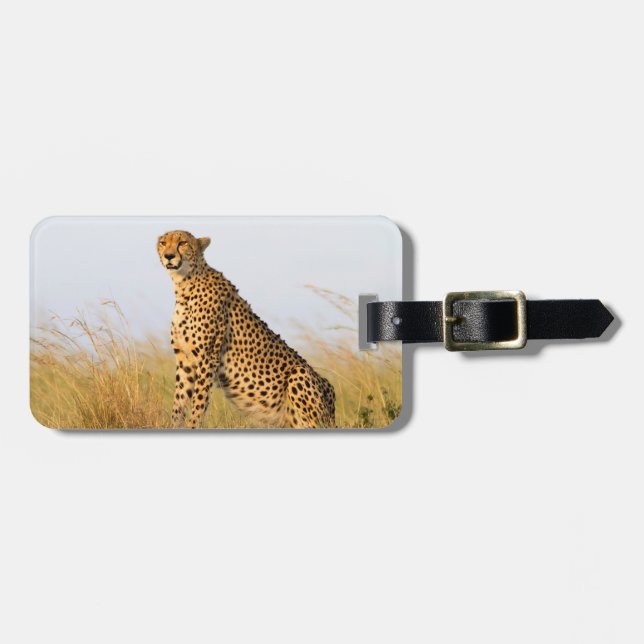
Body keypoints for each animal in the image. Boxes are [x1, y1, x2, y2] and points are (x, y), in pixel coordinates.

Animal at [157, 230, 336, 429]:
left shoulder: (207, 358)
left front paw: (193, 426)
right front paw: (174, 425)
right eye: (163, 243)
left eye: (182, 243)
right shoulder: (185, 361)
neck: (184, 284)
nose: (169, 256)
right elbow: (179, 403)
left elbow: (199, 403)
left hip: (300, 376)